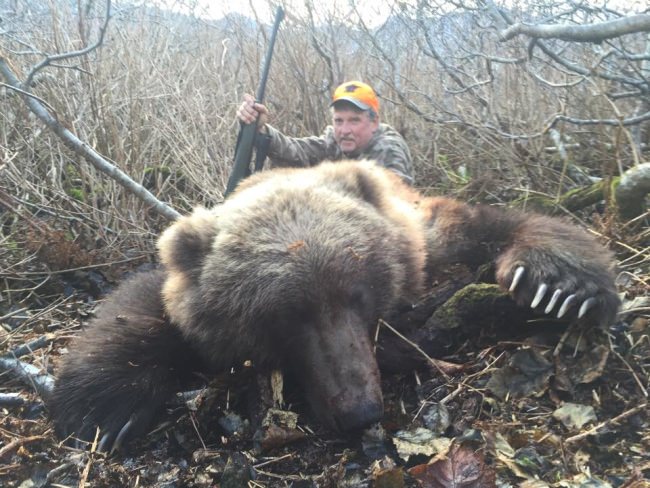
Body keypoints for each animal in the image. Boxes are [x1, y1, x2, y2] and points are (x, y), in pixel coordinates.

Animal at [46, 160, 620, 453]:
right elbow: (141, 307)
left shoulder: (422, 236)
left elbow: (490, 223)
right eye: (282, 317)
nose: (361, 412)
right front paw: (104, 406)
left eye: (360, 296)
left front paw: (563, 284)